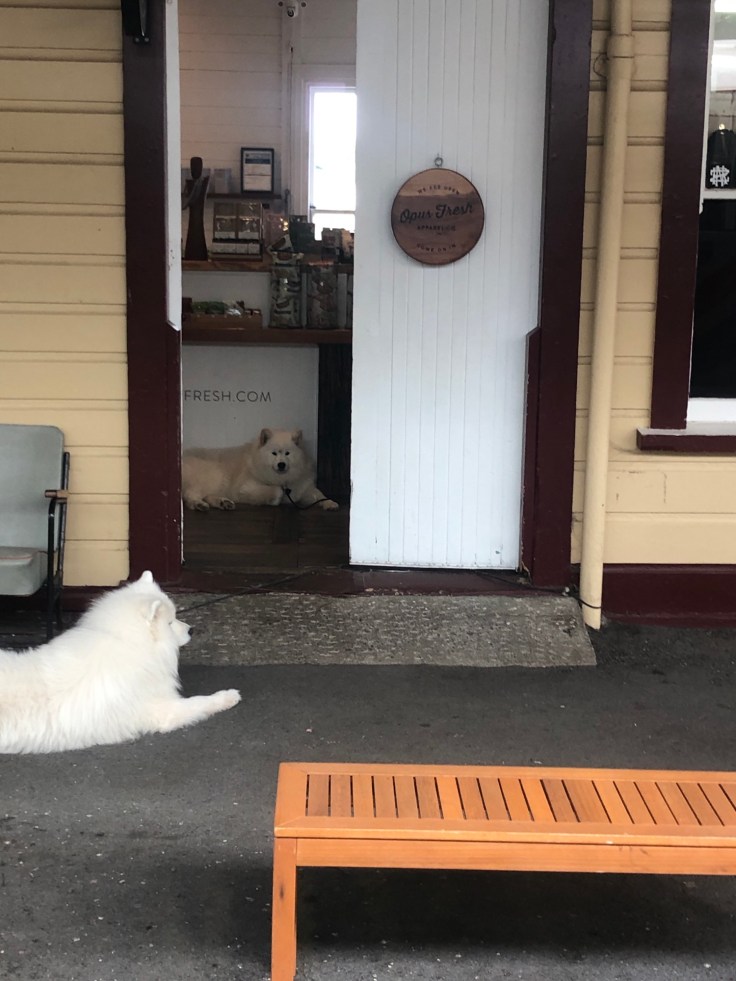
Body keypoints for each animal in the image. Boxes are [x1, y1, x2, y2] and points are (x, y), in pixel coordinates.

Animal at [0, 571, 241, 754]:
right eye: (170, 622)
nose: (192, 630)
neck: (127, 642)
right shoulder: (163, 710)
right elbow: (200, 702)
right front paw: (228, 697)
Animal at [181, 427, 339, 511]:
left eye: (287, 453)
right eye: (274, 453)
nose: (281, 464)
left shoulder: (305, 488)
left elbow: (319, 495)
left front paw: (330, 503)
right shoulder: (246, 488)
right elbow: (276, 491)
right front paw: (275, 499)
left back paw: (223, 502)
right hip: (215, 476)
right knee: (190, 494)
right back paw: (199, 504)